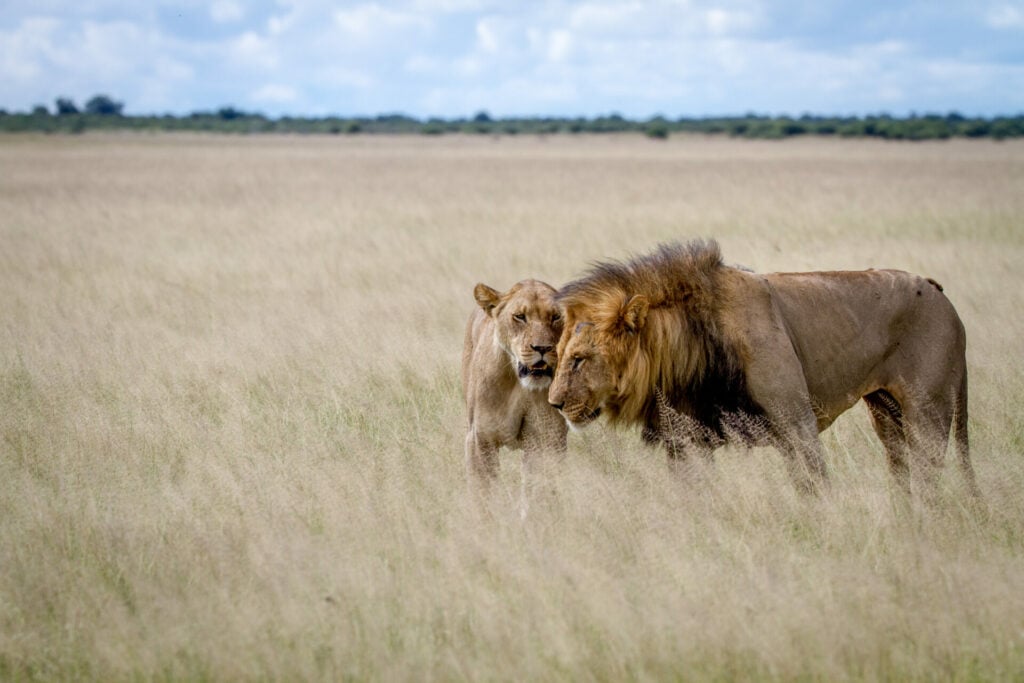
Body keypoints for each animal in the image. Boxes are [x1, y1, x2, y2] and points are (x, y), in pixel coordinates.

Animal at [462, 276, 569, 507]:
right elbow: (484, 494)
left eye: (556, 317)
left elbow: (539, 494)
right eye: (520, 317)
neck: (522, 387)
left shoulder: (548, 442)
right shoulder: (480, 440)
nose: (542, 348)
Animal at [548, 241, 978, 497]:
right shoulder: (685, 439)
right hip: (886, 410)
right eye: (559, 354)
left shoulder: (797, 423)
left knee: (928, 470)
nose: (554, 403)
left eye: (580, 358)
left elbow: (814, 485)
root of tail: (937, 289)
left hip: (928, 408)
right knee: (901, 467)